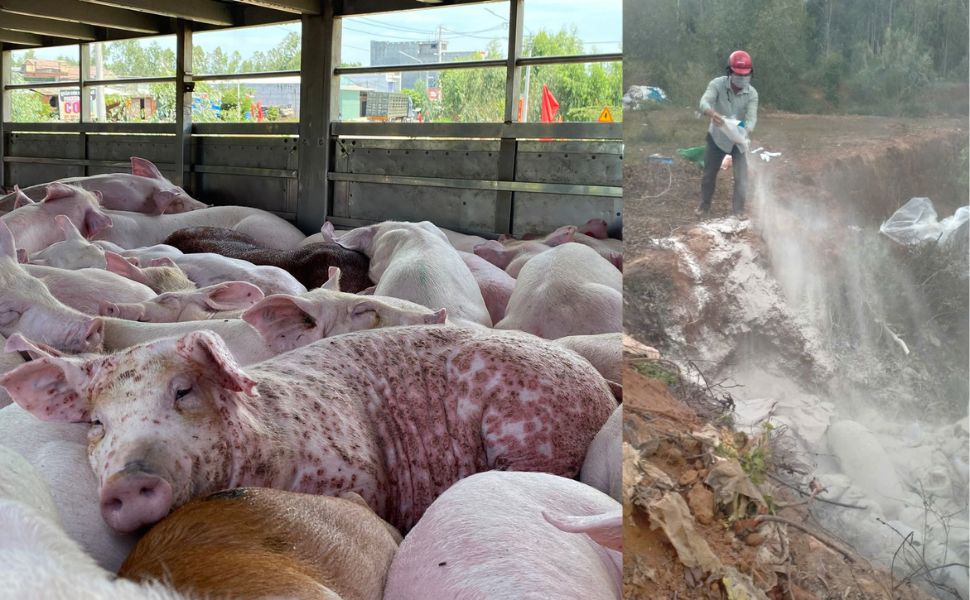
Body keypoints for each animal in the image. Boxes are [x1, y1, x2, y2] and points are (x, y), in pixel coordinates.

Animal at [1, 326, 616, 534]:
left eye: (183, 392)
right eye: (97, 423)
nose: (129, 481)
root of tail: (599, 385)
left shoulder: (359, 470)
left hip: (529, 426)